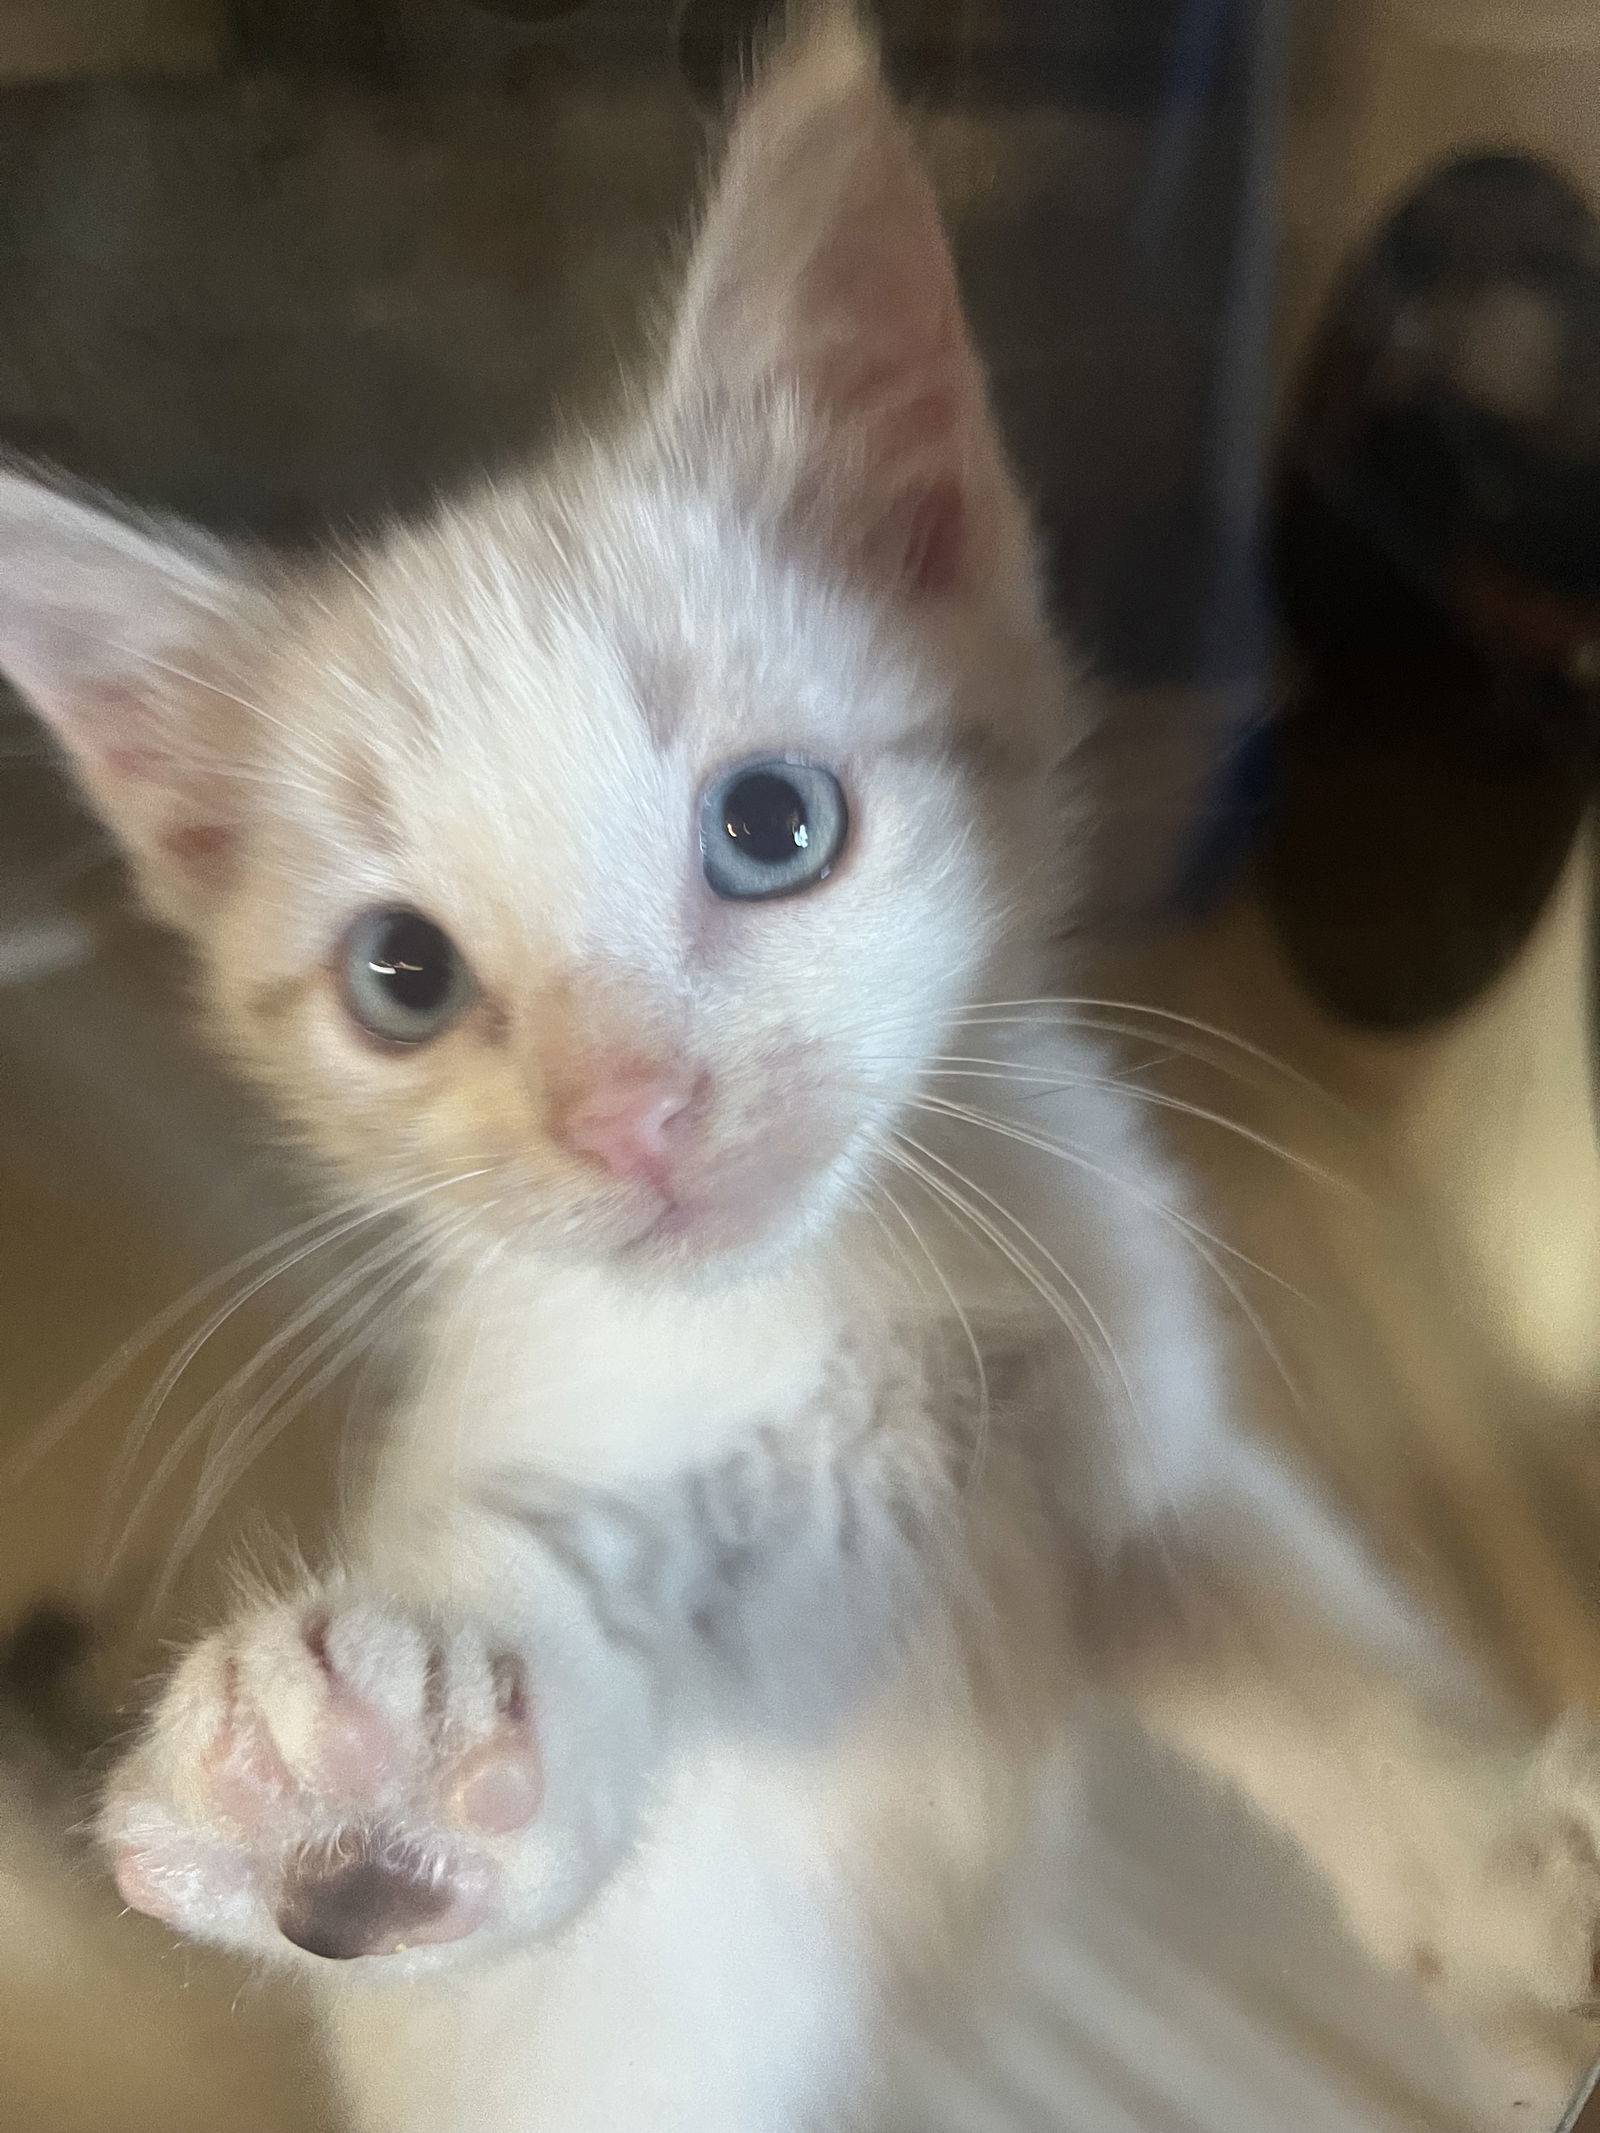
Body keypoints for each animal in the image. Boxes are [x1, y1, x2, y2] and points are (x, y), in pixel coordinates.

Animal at [3, 16, 1600, 2133]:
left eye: (772, 824)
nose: (629, 1114)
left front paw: (1509, 1878)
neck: (840, 1319)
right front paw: (368, 1796)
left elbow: (1324, 1673)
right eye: (401, 977)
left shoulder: (1144, 1483)